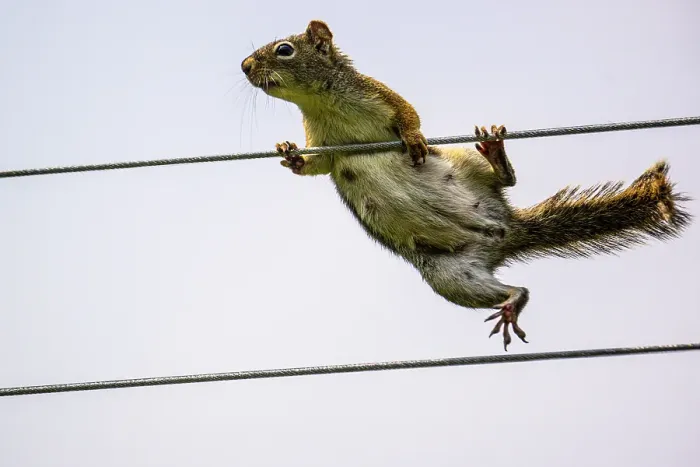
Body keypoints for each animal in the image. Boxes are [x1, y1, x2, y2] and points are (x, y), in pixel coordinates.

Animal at [241, 20, 692, 350]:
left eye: (284, 49)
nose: (245, 66)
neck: (321, 103)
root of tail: (505, 230)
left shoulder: (381, 94)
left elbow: (409, 115)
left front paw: (414, 140)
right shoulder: (325, 144)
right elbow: (316, 166)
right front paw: (290, 153)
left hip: (466, 164)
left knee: (506, 180)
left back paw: (496, 156)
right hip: (453, 279)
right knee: (515, 288)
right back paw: (512, 303)